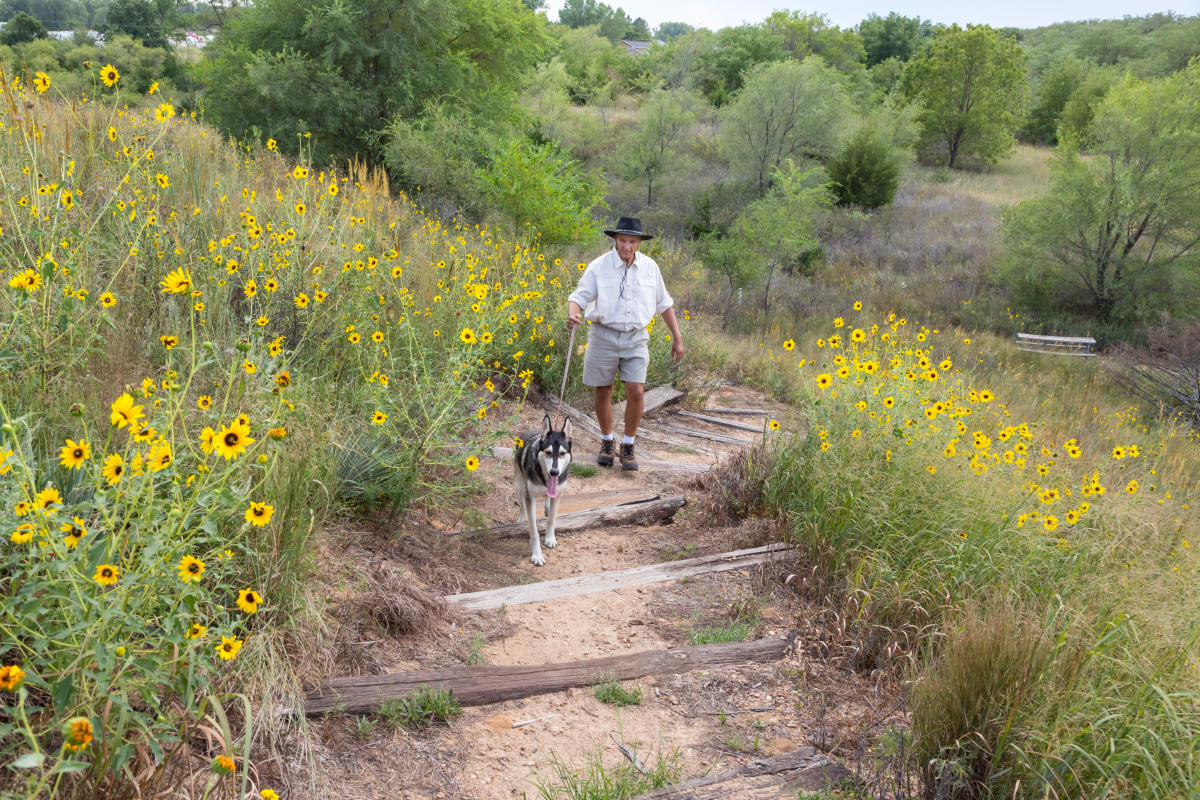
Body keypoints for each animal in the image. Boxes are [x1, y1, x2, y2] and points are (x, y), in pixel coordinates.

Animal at [513, 417, 573, 566]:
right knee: (522, 507)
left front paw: (550, 538)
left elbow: (552, 519)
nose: (554, 472)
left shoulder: (557, 494)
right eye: (548, 452)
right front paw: (537, 556)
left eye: (562, 453)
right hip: (521, 488)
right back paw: (520, 520)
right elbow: (534, 532)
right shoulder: (530, 498)